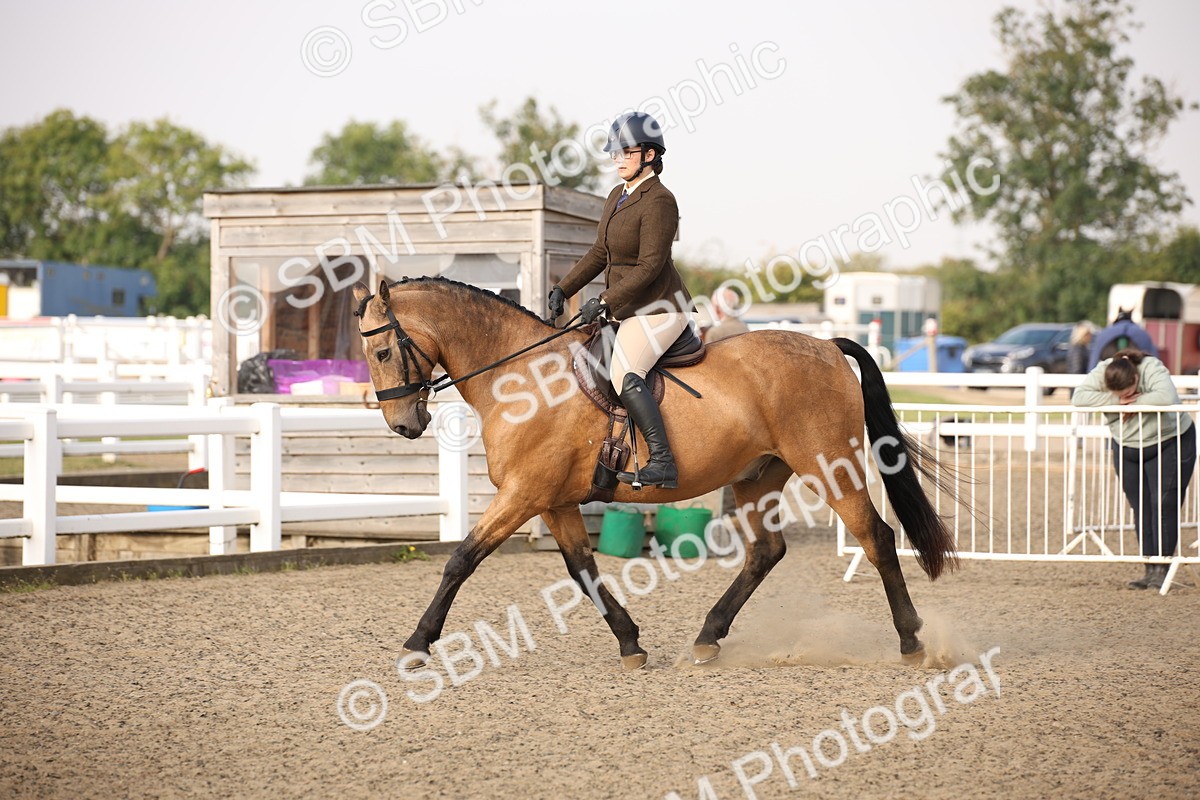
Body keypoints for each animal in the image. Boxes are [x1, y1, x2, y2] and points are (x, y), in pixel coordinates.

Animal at [351, 277, 957, 670]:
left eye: (381, 351)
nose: (404, 424)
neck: (521, 377)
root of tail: (827, 345)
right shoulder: (554, 501)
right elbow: (582, 570)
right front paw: (631, 643)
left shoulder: (523, 495)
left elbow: (461, 559)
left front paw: (417, 643)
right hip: (758, 477)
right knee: (766, 552)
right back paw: (708, 637)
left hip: (830, 468)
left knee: (876, 537)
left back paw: (912, 643)